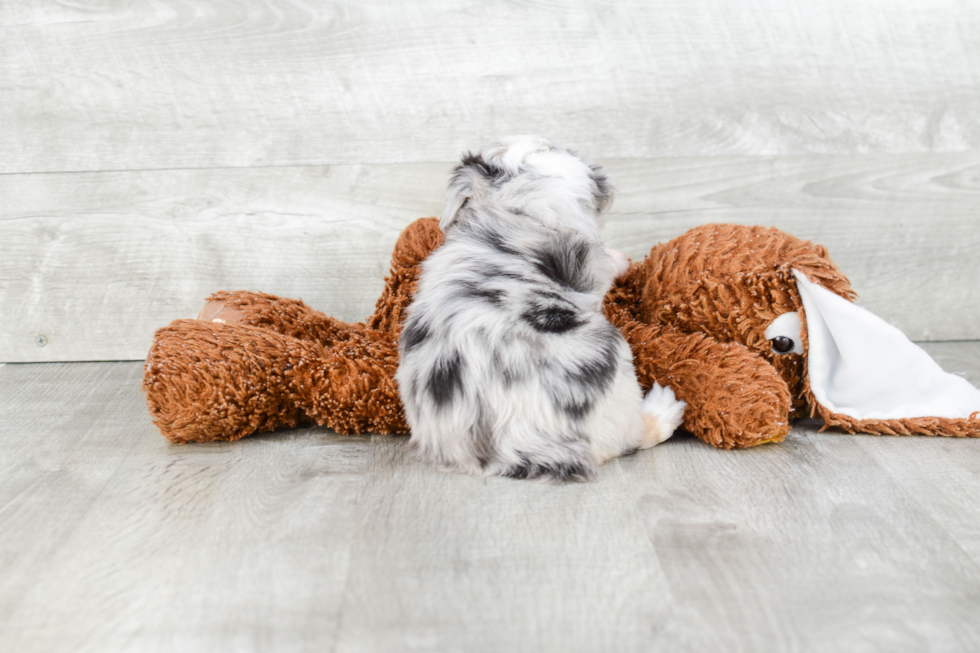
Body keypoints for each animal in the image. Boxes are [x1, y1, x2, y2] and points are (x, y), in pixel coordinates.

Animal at [394, 135, 684, 478]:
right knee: (632, 435)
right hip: (616, 362)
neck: (521, 209)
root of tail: (521, 445)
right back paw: (664, 411)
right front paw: (620, 259)